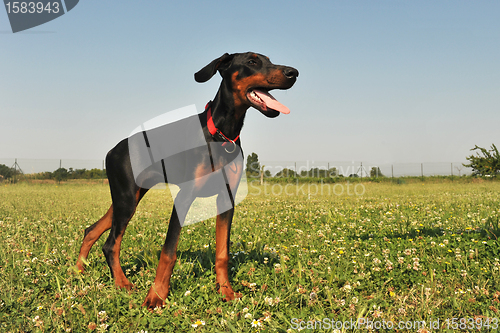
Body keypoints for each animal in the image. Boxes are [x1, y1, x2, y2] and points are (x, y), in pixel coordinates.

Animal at [76, 52, 298, 308]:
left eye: (269, 60)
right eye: (252, 61)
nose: (293, 73)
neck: (222, 134)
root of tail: (112, 150)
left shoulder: (226, 199)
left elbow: (222, 253)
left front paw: (226, 291)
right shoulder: (184, 197)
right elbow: (168, 251)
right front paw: (156, 296)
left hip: (126, 197)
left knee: (92, 230)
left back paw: (78, 271)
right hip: (127, 199)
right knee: (111, 243)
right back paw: (122, 283)